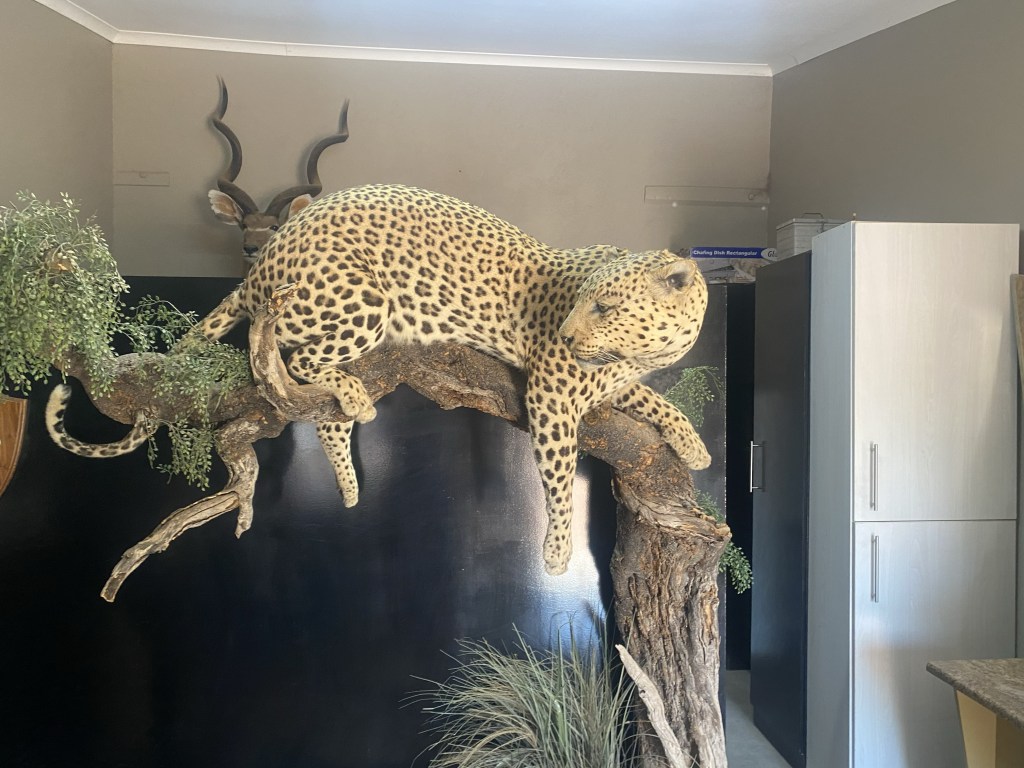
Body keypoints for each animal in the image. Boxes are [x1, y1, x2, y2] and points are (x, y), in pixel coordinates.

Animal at [47, 183, 710, 575]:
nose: (570, 335)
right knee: (293, 366)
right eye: (582, 304)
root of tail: (259, 266)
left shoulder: (609, 380)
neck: (642, 352)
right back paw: (352, 394)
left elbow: (657, 402)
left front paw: (694, 445)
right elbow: (559, 474)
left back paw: (348, 481)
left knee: (316, 413)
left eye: (605, 307)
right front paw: (557, 549)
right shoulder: (551, 395)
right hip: (360, 304)